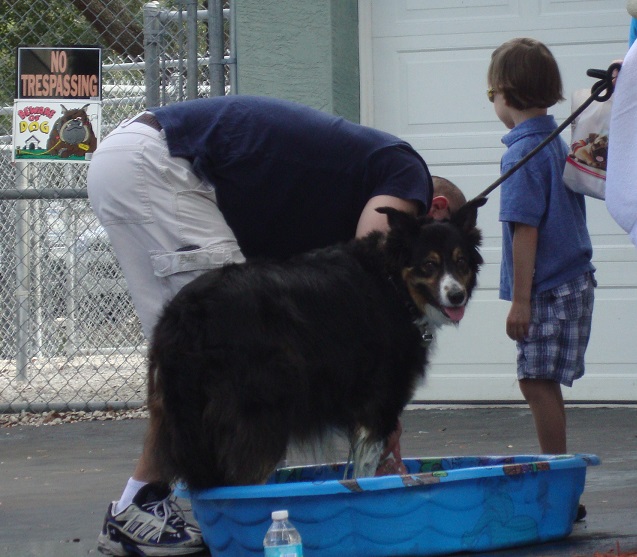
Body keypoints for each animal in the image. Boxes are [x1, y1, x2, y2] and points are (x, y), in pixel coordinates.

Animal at [147, 199, 484, 486]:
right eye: (429, 265)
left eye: (461, 262)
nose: (457, 296)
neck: (393, 284)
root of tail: (185, 314)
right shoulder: (378, 405)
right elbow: (366, 473)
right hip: (258, 415)